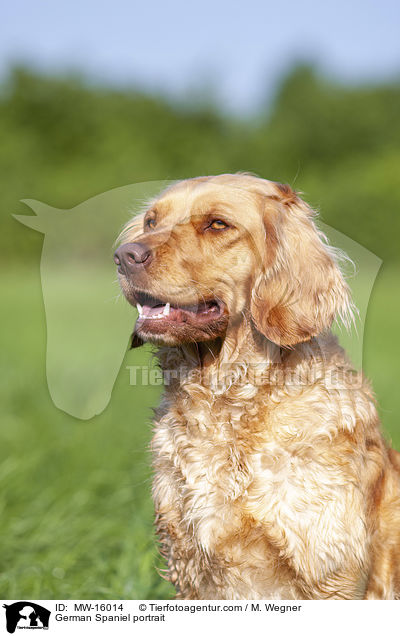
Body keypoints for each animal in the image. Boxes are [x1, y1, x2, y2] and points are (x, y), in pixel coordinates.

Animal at [113, 175, 400, 600]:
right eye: (151, 221)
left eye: (217, 224)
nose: (123, 255)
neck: (227, 400)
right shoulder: (190, 566)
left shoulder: (329, 572)